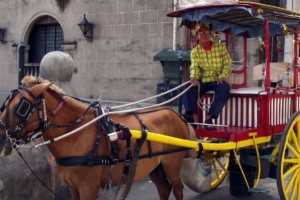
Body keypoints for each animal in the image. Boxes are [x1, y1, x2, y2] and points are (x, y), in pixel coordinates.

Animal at [0, 76, 193, 199]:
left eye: (21, 107)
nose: (2, 135)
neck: (77, 132)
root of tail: (175, 114)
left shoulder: (88, 187)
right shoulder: (73, 187)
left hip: (172, 164)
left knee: (177, 189)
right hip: (155, 167)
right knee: (163, 188)